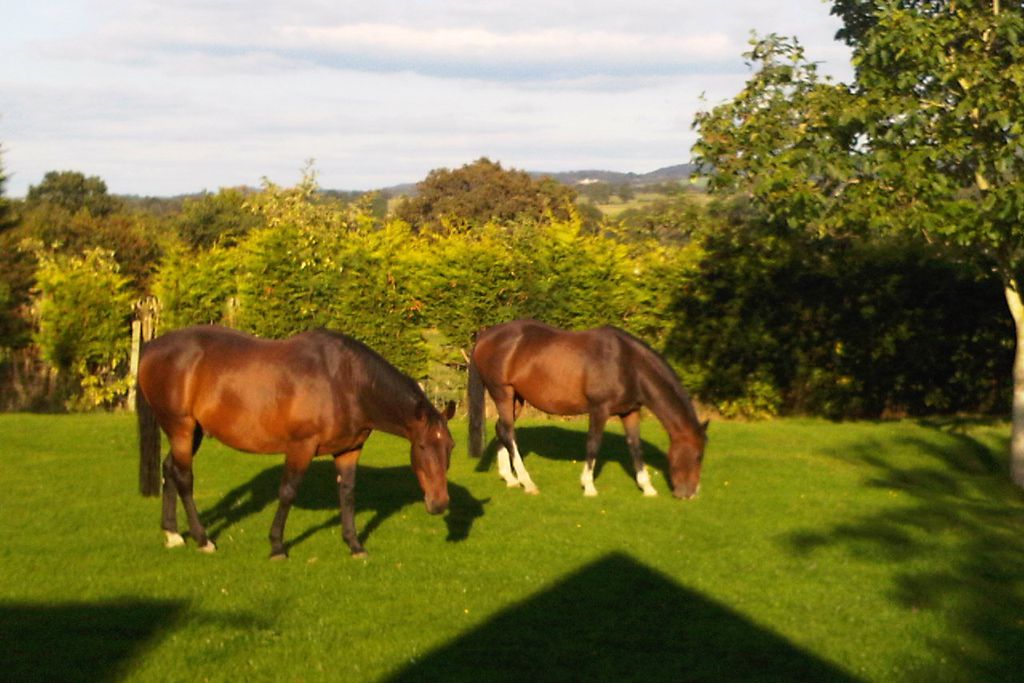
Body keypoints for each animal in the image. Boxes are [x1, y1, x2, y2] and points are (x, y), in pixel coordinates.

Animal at [137, 323, 456, 557]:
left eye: (450, 447)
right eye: (423, 446)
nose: (440, 503)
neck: (346, 381)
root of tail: (152, 348)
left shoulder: (350, 450)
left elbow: (348, 494)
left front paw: (354, 544)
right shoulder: (301, 446)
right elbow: (288, 492)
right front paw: (277, 545)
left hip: (194, 431)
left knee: (169, 469)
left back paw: (172, 534)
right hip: (180, 427)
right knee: (184, 478)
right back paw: (203, 539)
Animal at [468, 317, 704, 499]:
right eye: (698, 456)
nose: (690, 494)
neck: (627, 363)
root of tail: (485, 336)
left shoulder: (630, 412)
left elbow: (635, 447)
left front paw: (647, 488)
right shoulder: (599, 409)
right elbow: (593, 443)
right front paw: (588, 486)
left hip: (516, 399)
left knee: (501, 429)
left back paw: (510, 478)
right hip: (502, 393)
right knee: (508, 432)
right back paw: (527, 482)